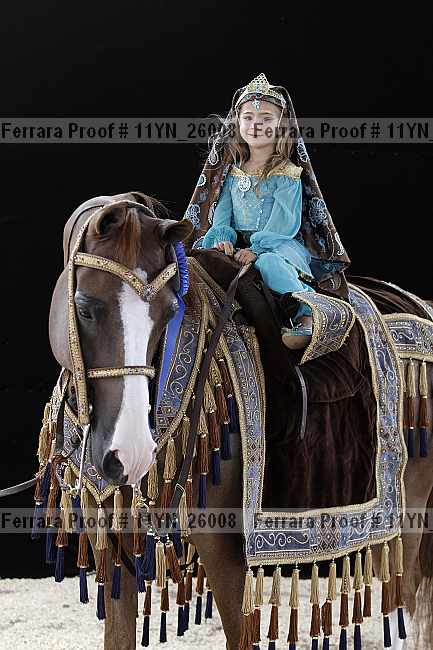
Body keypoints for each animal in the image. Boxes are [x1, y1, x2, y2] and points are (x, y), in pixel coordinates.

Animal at [48, 191, 433, 650]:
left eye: (169, 311)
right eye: (86, 309)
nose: (131, 452)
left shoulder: (227, 554)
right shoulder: (114, 545)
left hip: (409, 517)